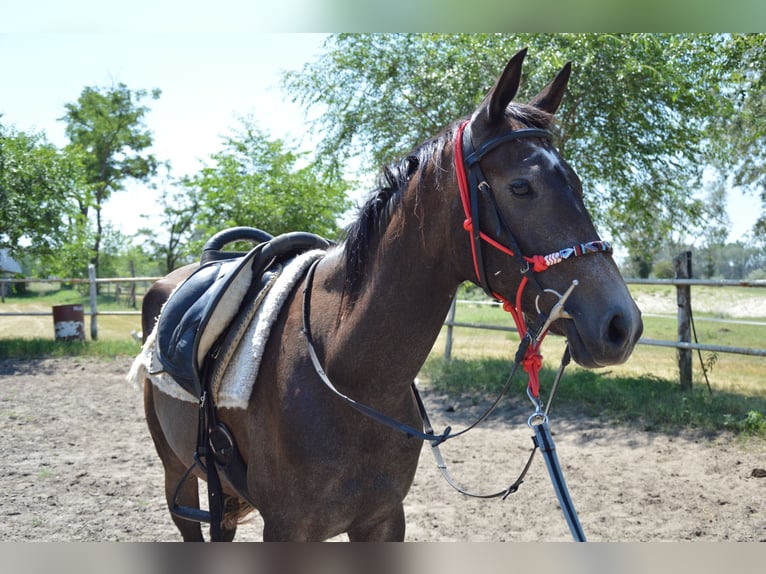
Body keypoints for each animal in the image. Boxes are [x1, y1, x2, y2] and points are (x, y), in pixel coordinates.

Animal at [137, 49, 643, 542]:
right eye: (521, 187)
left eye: (577, 183)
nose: (622, 324)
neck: (346, 375)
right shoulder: (285, 529)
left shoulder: (382, 520)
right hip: (177, 475)